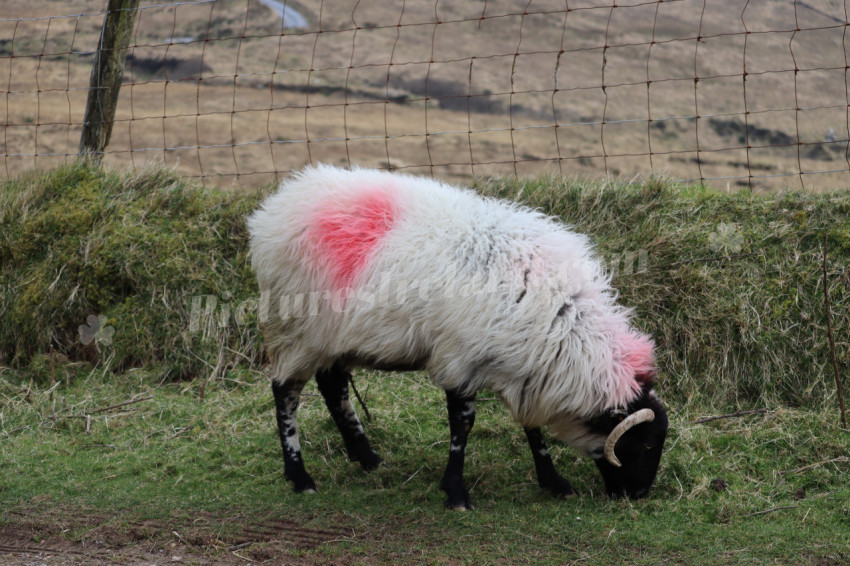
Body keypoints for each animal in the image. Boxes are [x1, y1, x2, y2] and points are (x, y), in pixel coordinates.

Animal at [247, 165, 668, 509]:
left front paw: (554, 482)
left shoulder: (524, 363)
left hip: (332, 336)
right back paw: (300, 477)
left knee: (333, 387)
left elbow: (530, 426)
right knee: (286, 394)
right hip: (295, 329)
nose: (638, 495)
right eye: (646, 443)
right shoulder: (460, 357)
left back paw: (366, 458)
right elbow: (462, 425)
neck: (564, 320)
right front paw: (455, 492)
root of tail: (278, 204)